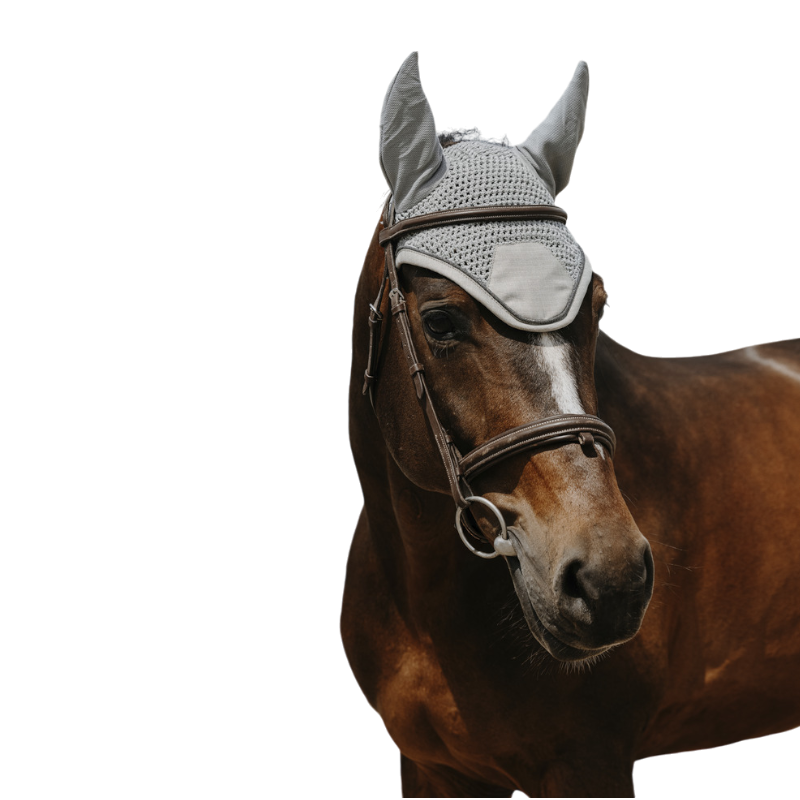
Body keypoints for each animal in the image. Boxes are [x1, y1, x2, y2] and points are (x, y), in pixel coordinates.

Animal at [341, 53, 800, 797]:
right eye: (440, 321)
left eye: (598, 307)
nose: (611, 580)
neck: (425, 602)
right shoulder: (433, 768)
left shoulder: (587, 764)